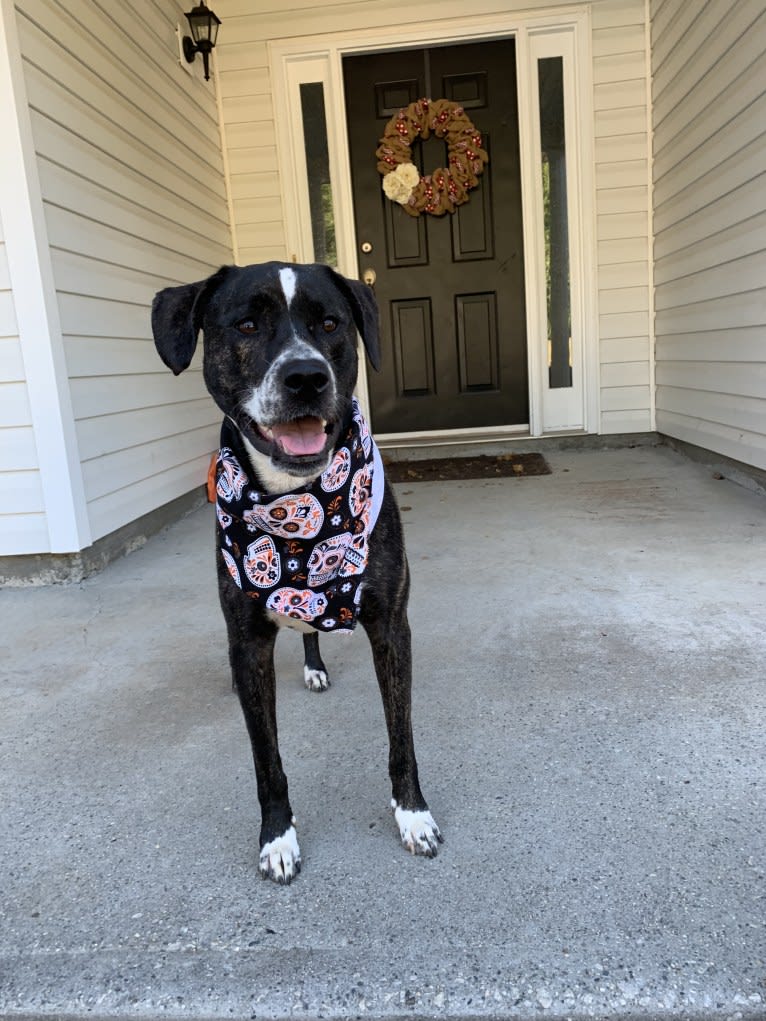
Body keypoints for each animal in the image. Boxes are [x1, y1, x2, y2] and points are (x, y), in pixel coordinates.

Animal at [151, 259, 443, 882]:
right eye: (246, 325)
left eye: (330, 323)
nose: (306, 376)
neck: (298, 503)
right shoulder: (248, 641)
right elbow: (266, 758)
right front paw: (277, 836)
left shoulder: (392, 627)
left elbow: (401, 734)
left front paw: (412, 814)